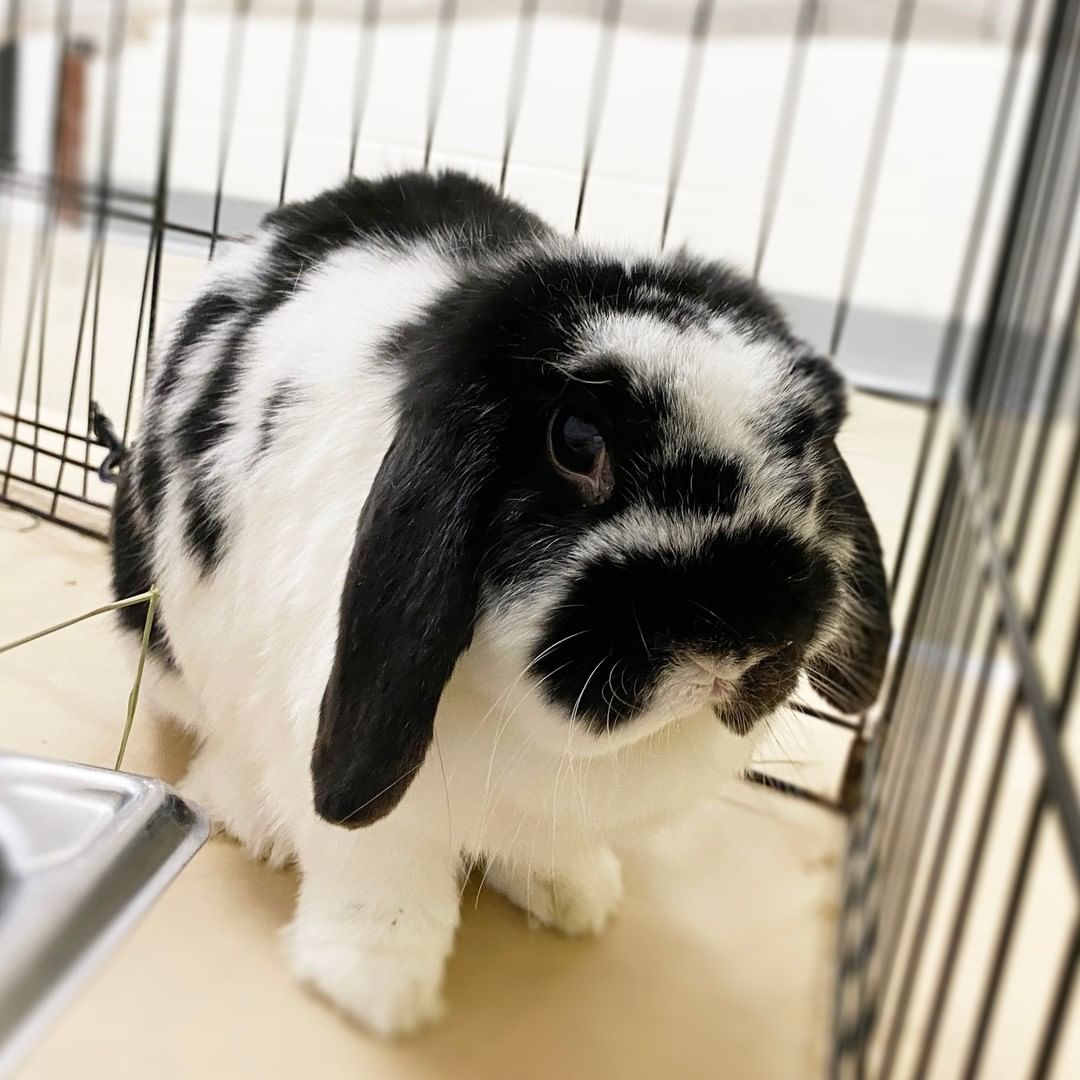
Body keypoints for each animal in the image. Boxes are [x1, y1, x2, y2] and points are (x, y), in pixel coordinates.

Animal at [109, 170, 889, 1036]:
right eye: (576, 442)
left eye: (807, 461)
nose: (745, 643)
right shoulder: (361, 787)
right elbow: (380, 876)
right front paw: (377, 987)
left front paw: (575, 895)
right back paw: (253, 818)